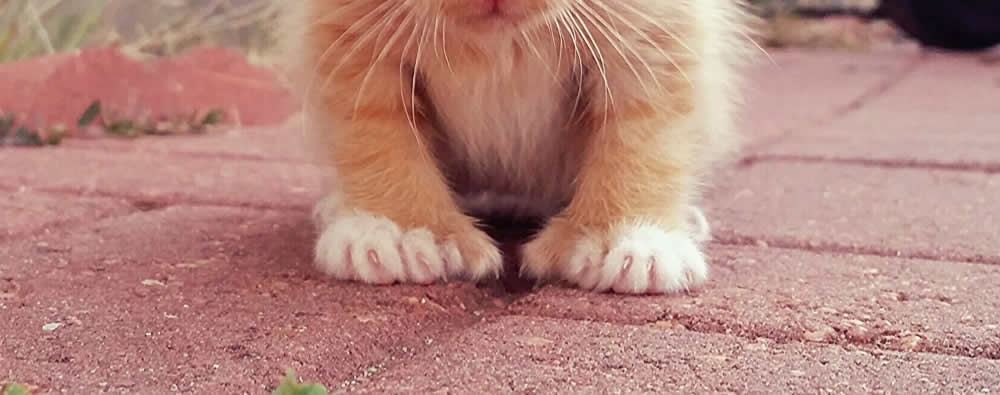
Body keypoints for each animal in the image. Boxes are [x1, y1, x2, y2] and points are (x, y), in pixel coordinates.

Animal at [280, 0, 752, 294]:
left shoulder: (658, 33)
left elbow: (645, 137)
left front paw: (624, 236)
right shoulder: (348, 34)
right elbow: (373, 132)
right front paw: (400, 230)